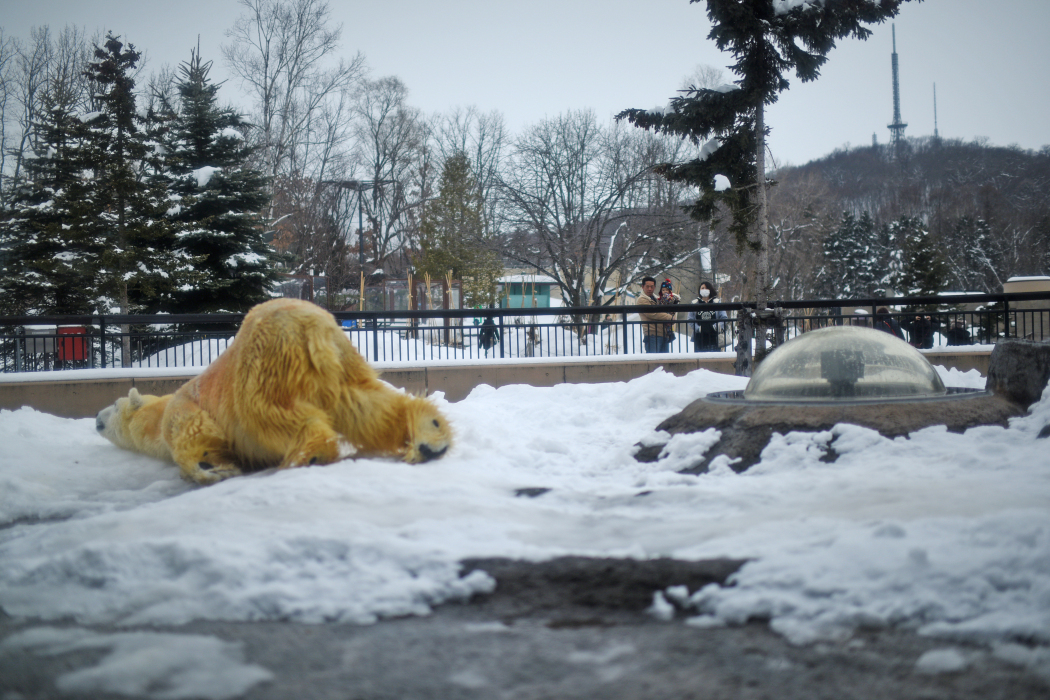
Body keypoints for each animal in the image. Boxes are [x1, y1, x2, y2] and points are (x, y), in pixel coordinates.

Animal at [99, 298, 455, 484]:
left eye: (114, 406)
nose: (97, 419)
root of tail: (309, 324)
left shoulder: (182, 409)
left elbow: (195, 435)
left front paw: (212, 467)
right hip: (342, 364)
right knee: (366, 406)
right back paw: (430, 434)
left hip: (264, 366)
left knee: (267, 412)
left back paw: (309, 455)